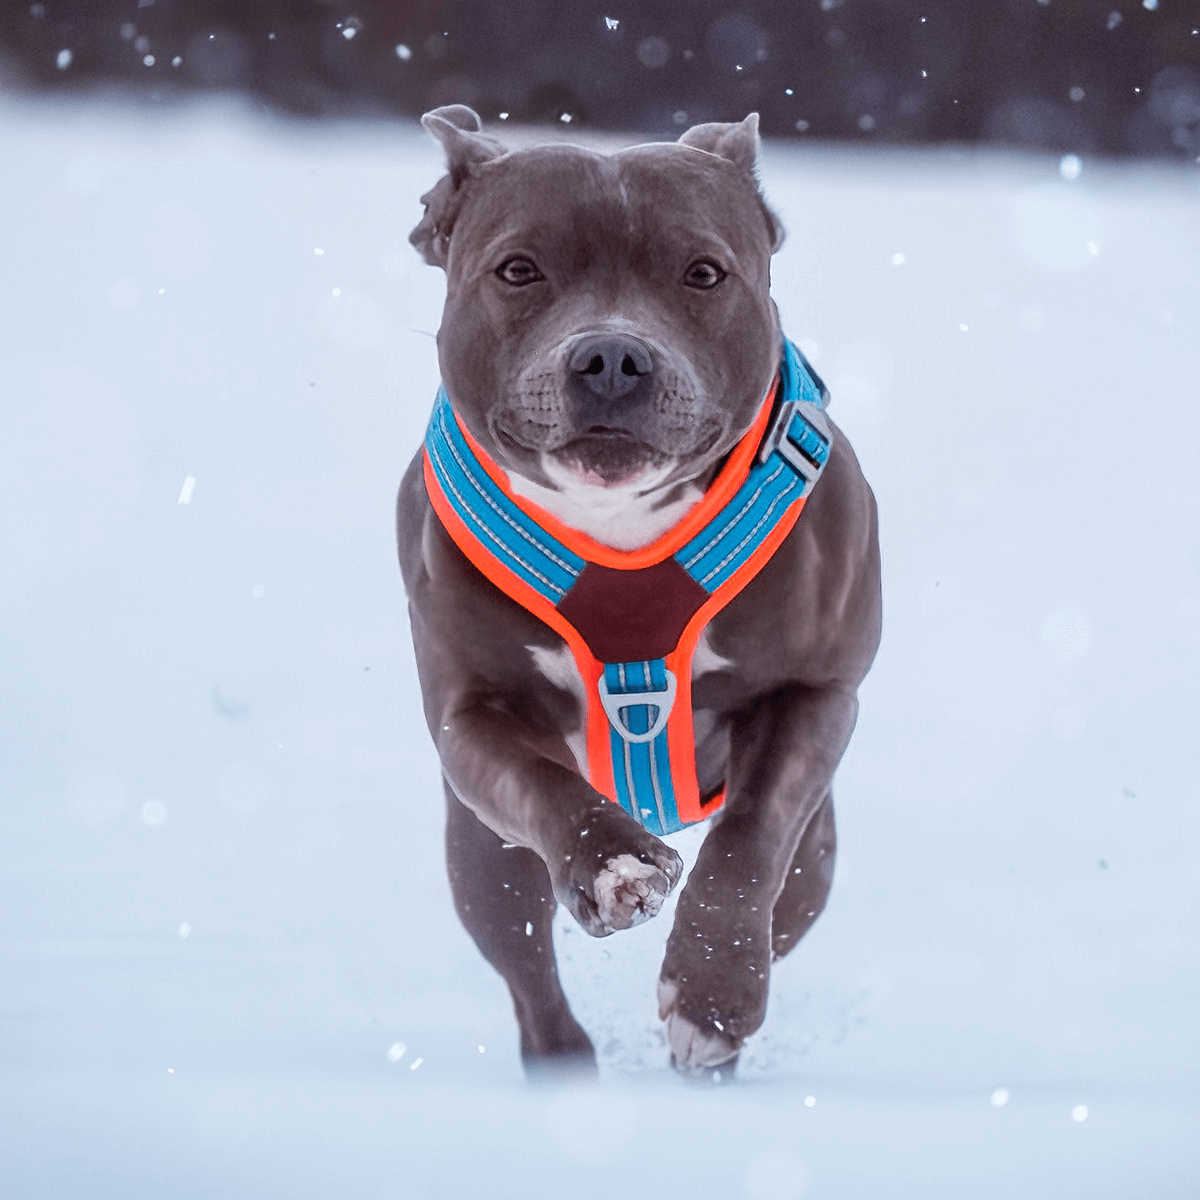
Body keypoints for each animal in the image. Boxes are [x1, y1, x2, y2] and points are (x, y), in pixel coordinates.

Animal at [398, 105, 878, 1080]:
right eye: (518, 269)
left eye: (704, 273)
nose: (613, 354)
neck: (618, 525)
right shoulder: (471, 715)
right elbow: (542, 783)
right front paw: (612, 864)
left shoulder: (816, 694)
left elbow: (752, 836)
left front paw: (712, 994)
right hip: (481, 857)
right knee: (525, 964)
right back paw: (565, 1065)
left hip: (817, 864)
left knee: (786, 891)